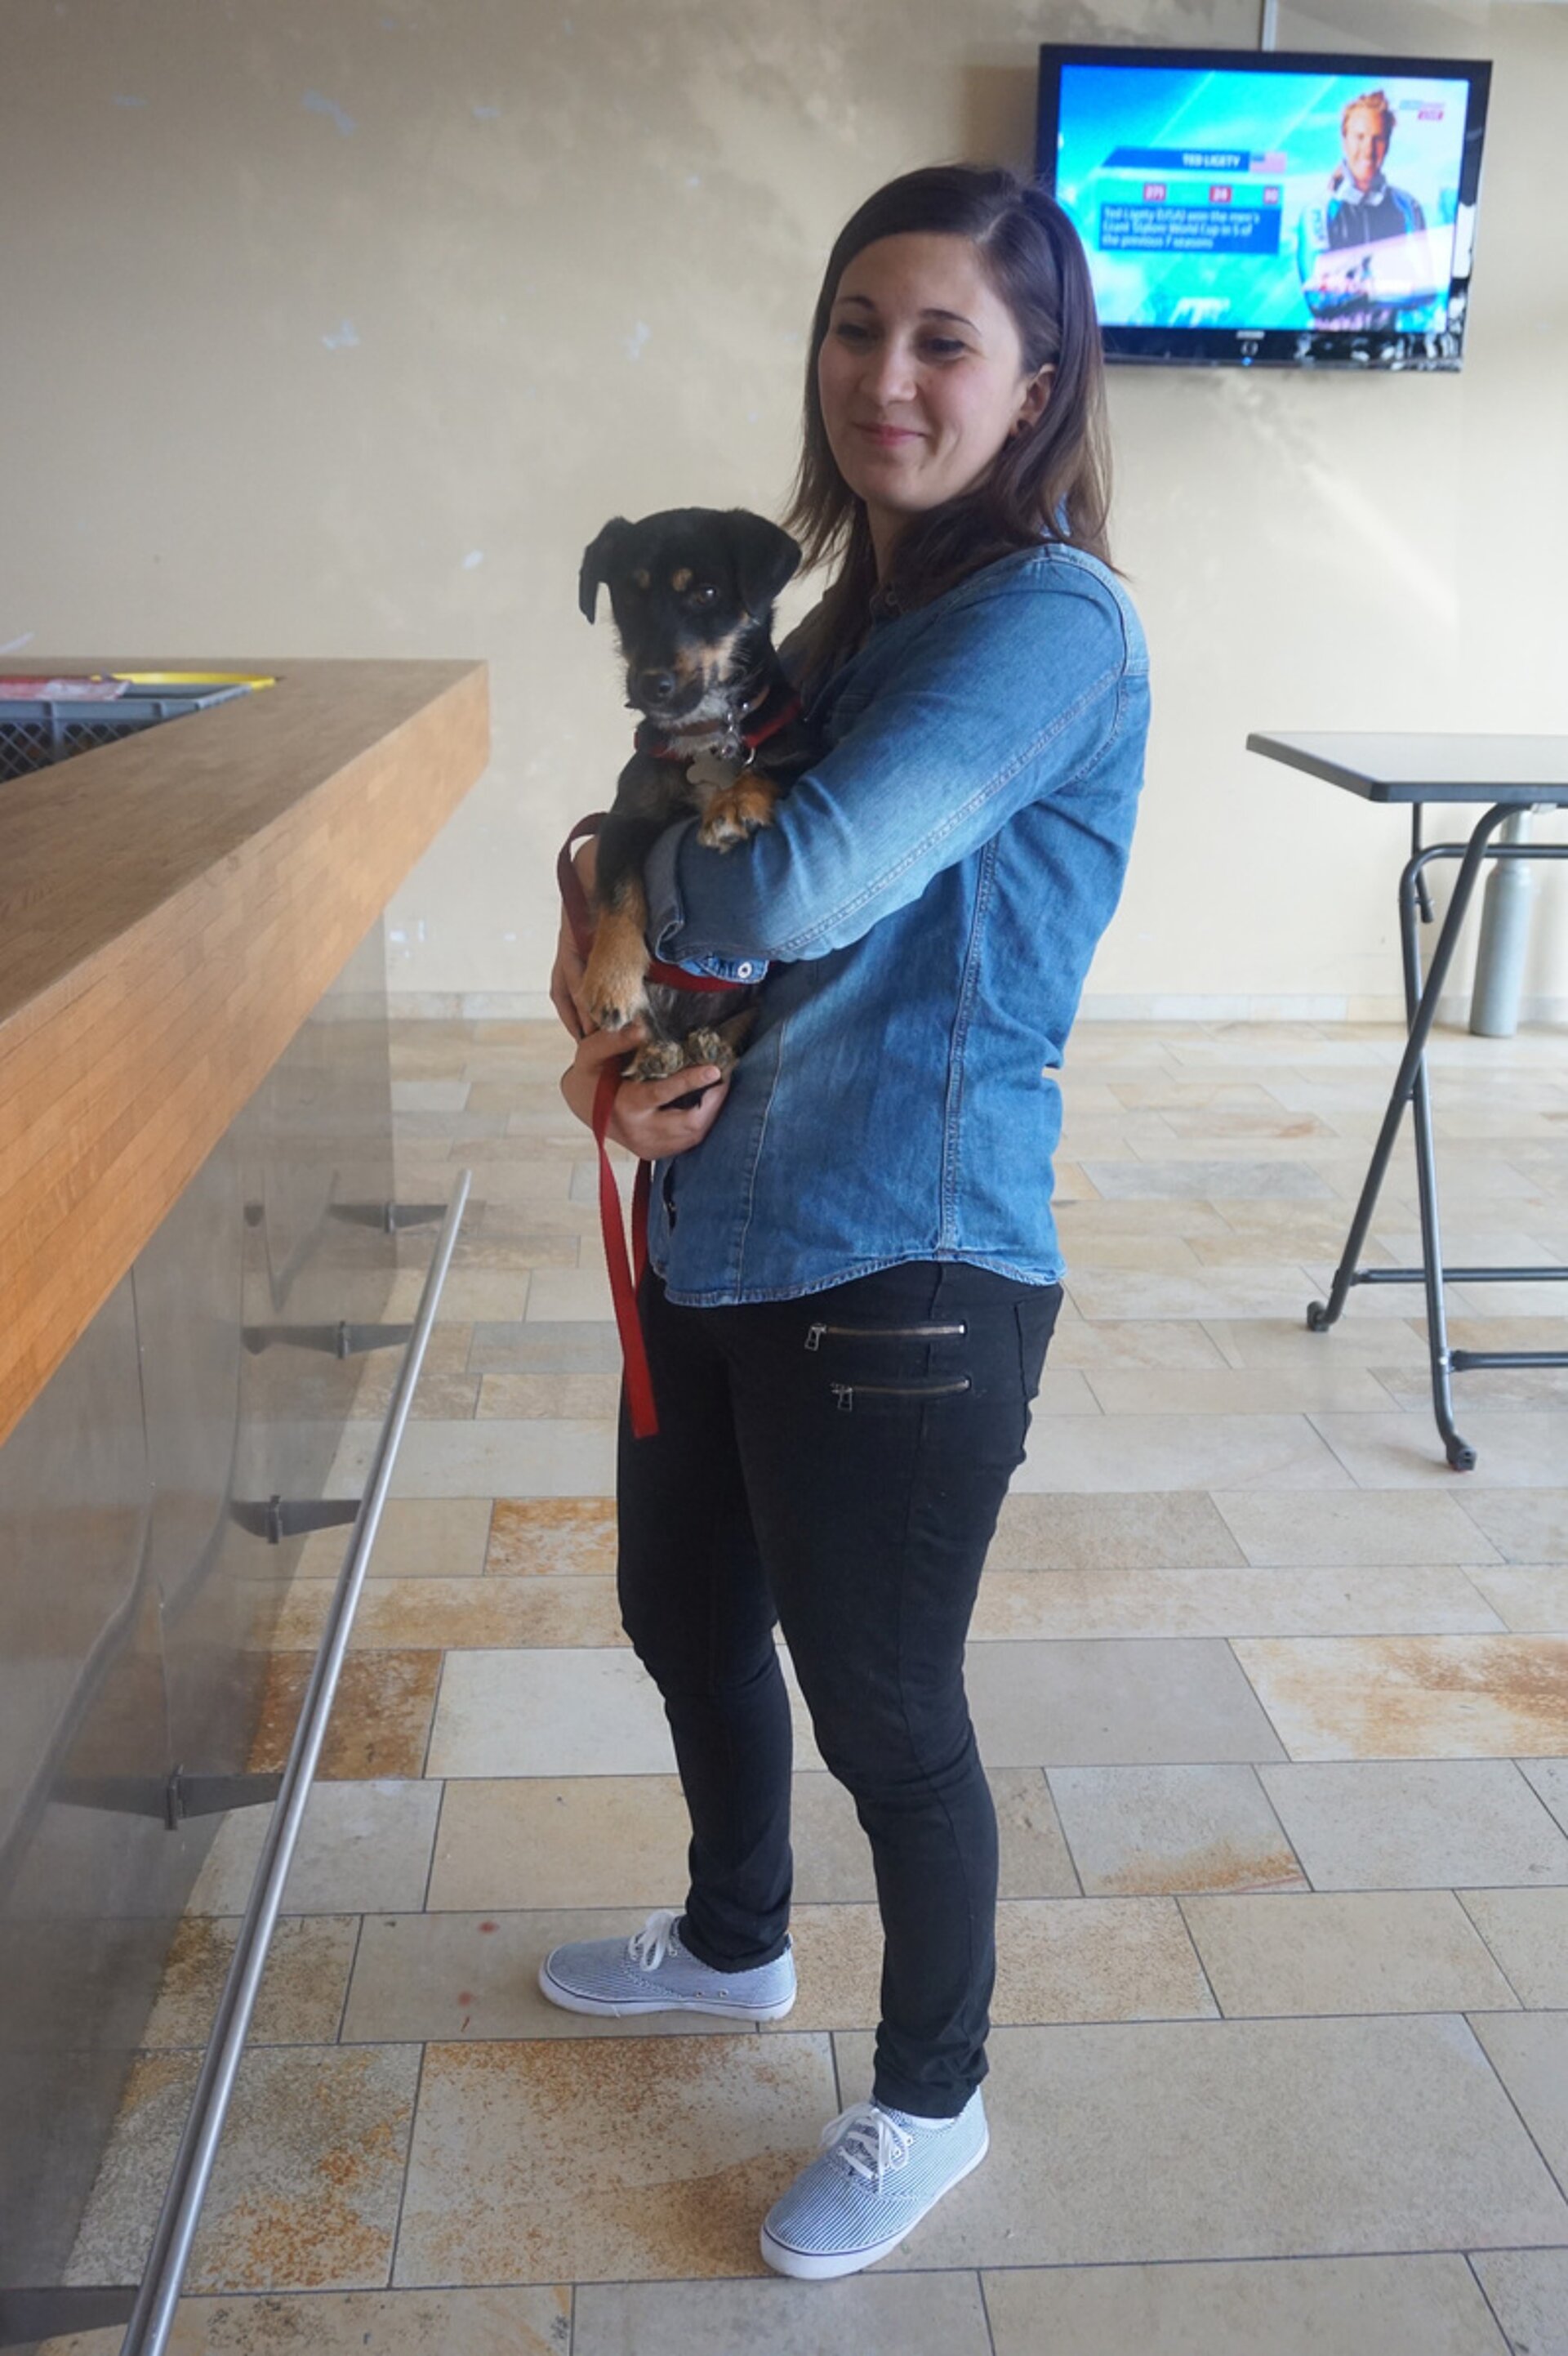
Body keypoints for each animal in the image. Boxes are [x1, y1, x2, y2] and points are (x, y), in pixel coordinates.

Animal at [576, 505, 813, 1083]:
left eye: (706, 594)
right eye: (629, 595)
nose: (650, 685)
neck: (705, 731)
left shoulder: (802, 754)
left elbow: (767, 772)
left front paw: (734, 806)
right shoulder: (626, 818)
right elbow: (618, 893)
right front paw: (609, 981)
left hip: (752, 999)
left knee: (737, 1025)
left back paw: (714, 1046)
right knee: (651, 1038)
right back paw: (655, 1054)